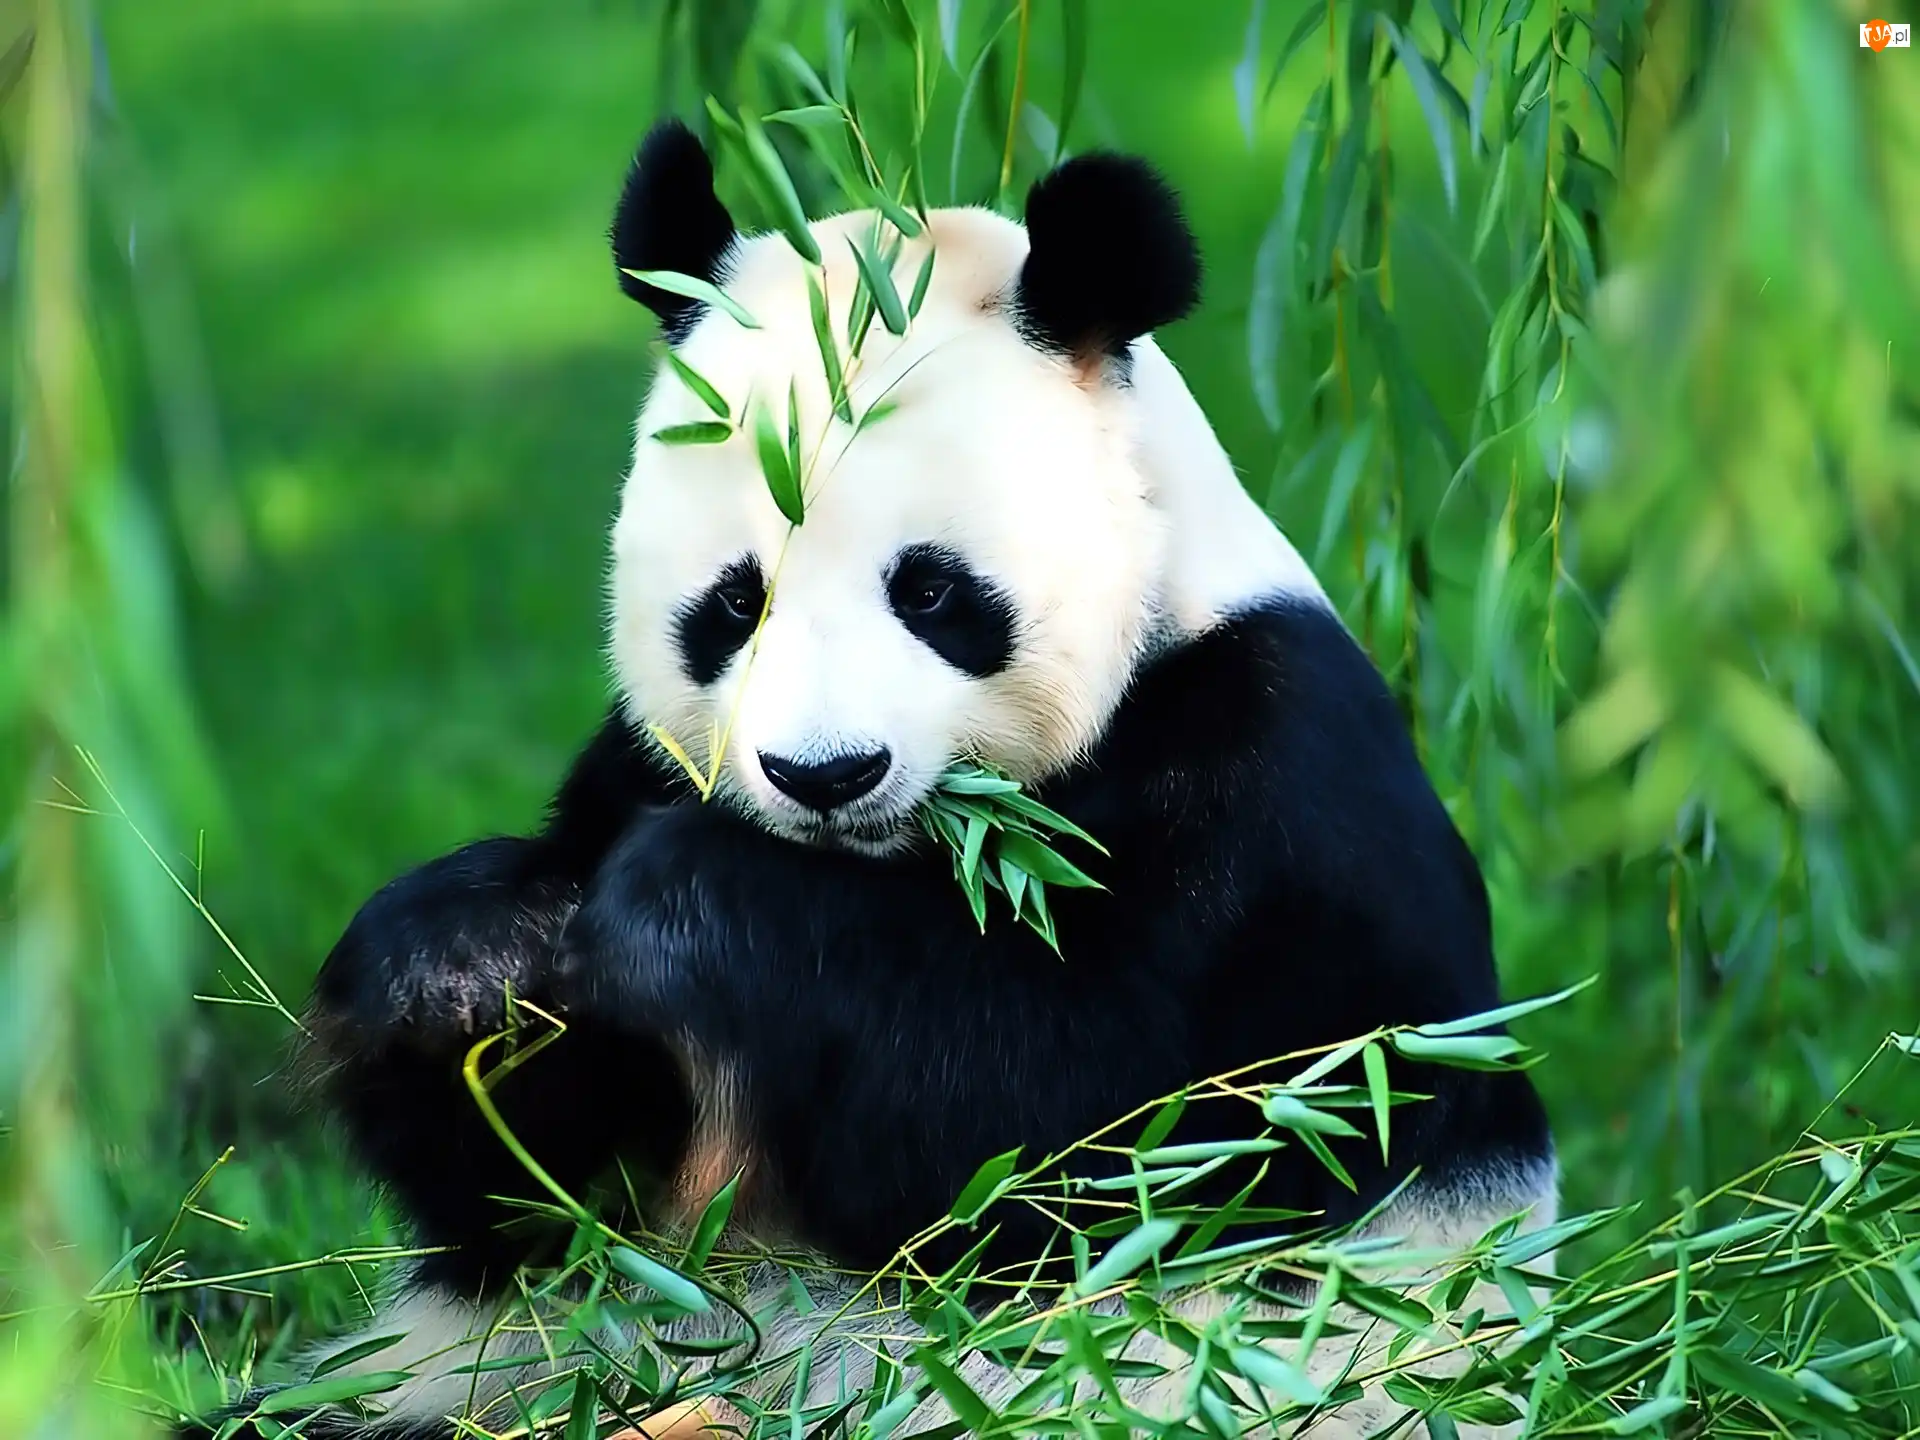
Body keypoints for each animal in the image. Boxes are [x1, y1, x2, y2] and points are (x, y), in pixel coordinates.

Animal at [180, 119, 1557, 1439]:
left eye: (933, 592)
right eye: (736, 603)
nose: (824, 775)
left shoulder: (1275, 792)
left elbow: (1099, 1128)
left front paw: (684, 905)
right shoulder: (634, 767)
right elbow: (540, 1196)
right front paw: (464, 958)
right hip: (488, 1376)